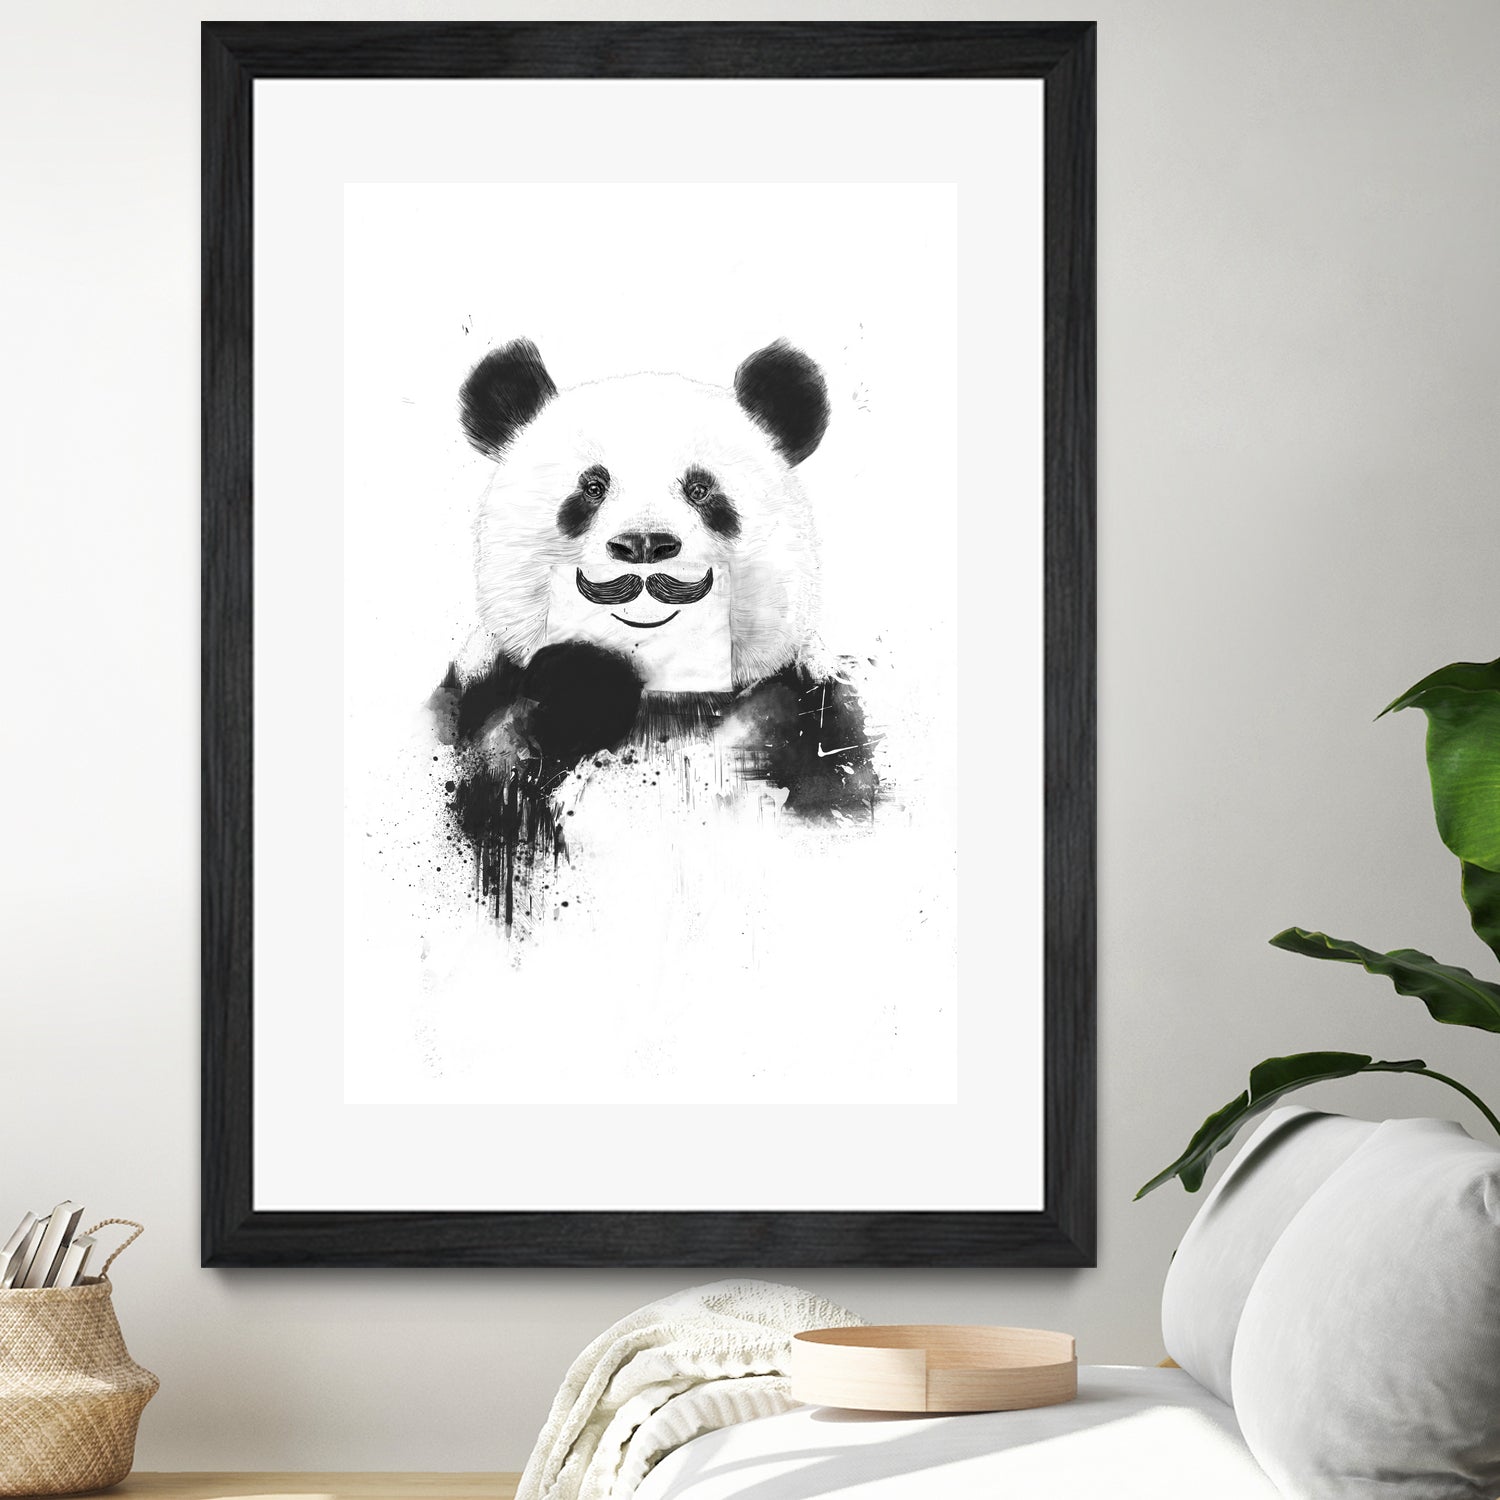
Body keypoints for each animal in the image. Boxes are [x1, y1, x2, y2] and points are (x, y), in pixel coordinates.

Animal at [430, 337, 878, 927]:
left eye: (701, 489)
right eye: (592, 487)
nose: (644, 544)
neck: (662, 699)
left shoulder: (806, 709)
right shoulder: (475, 702)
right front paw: (582, 684)